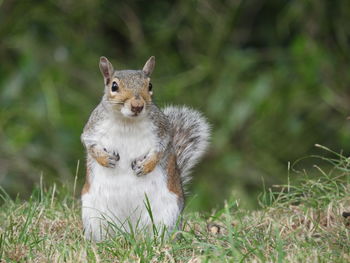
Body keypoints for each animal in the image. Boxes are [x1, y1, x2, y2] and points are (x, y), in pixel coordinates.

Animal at [80, 56, 209, 242]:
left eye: (150, 86)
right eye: (114, 86)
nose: (137, 105)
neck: (127, 122)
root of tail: (128, 232)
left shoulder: (163, 132)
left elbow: (160, 150)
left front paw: (146, 166)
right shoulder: (92, 128)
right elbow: (89, 144)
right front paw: (105, 159)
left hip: (166, 215)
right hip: (93, 214)